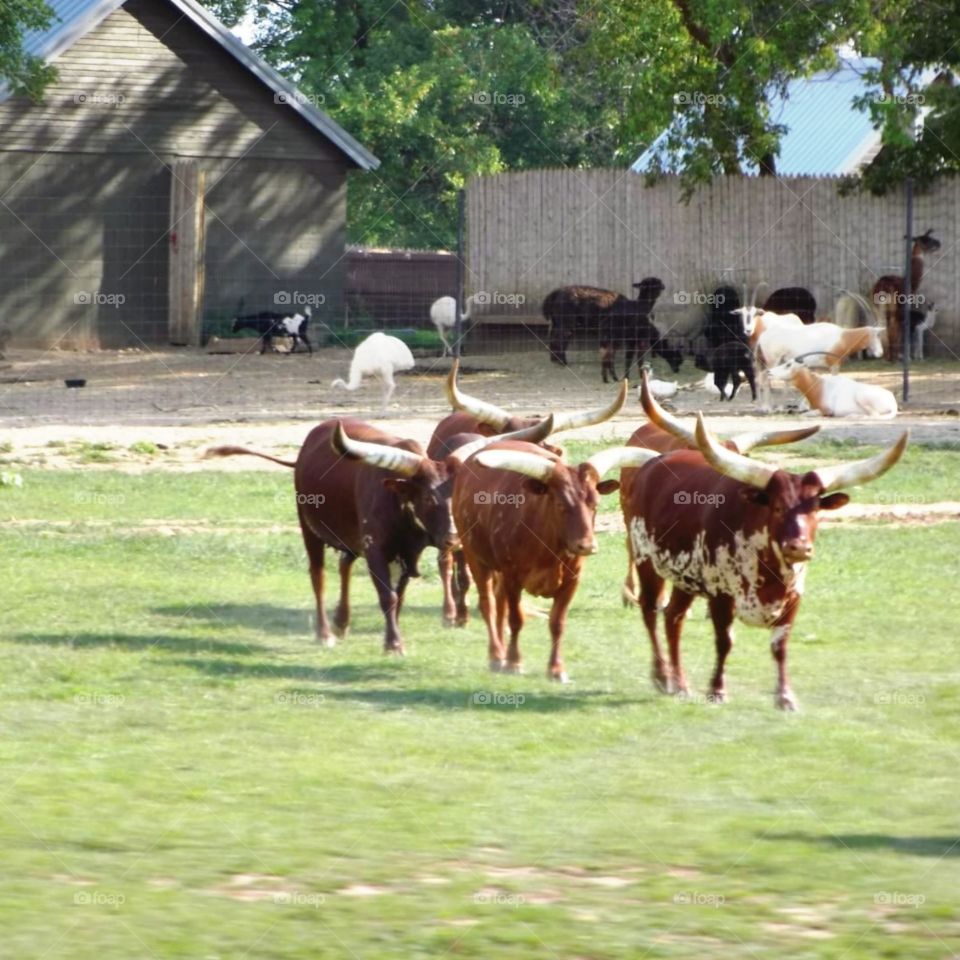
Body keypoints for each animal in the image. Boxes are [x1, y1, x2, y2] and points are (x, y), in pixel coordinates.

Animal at [205, 416, 550, 654]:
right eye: (429, 499)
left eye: (464, 495)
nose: (454, 538)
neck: (400, 505)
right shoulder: (376, 549)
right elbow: (387, 596)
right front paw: (394, 644)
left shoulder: (408, 554)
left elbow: (399, 596)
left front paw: (389, 637)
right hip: (308, 527)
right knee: (318, 575)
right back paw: (326, 632)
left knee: (344, 565)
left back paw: (342, 621)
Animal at [453, 440, 659, 681]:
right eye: (561, 504)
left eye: (595, 504)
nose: (587, 545)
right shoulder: (513, 578)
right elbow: (516, 619)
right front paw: (514, 662)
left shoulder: (571, 581)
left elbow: (557, 623)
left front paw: (556, 669)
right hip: (475, 557)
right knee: (489, 604)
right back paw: (496, 656)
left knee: (499, 602)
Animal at [623, 414, 908, 709]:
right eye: (778, 507)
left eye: (815, 509)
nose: (799, 547)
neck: (769, 571)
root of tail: (653, 464)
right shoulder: (721, 594)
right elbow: (725, 641)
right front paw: (717, 690)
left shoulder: (793, 597)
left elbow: (779, 646)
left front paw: (785, 697)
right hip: (646, 561)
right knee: (650, 612)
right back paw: (662, 676)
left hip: (685, 577)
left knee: (673, 618)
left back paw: (680, 684)